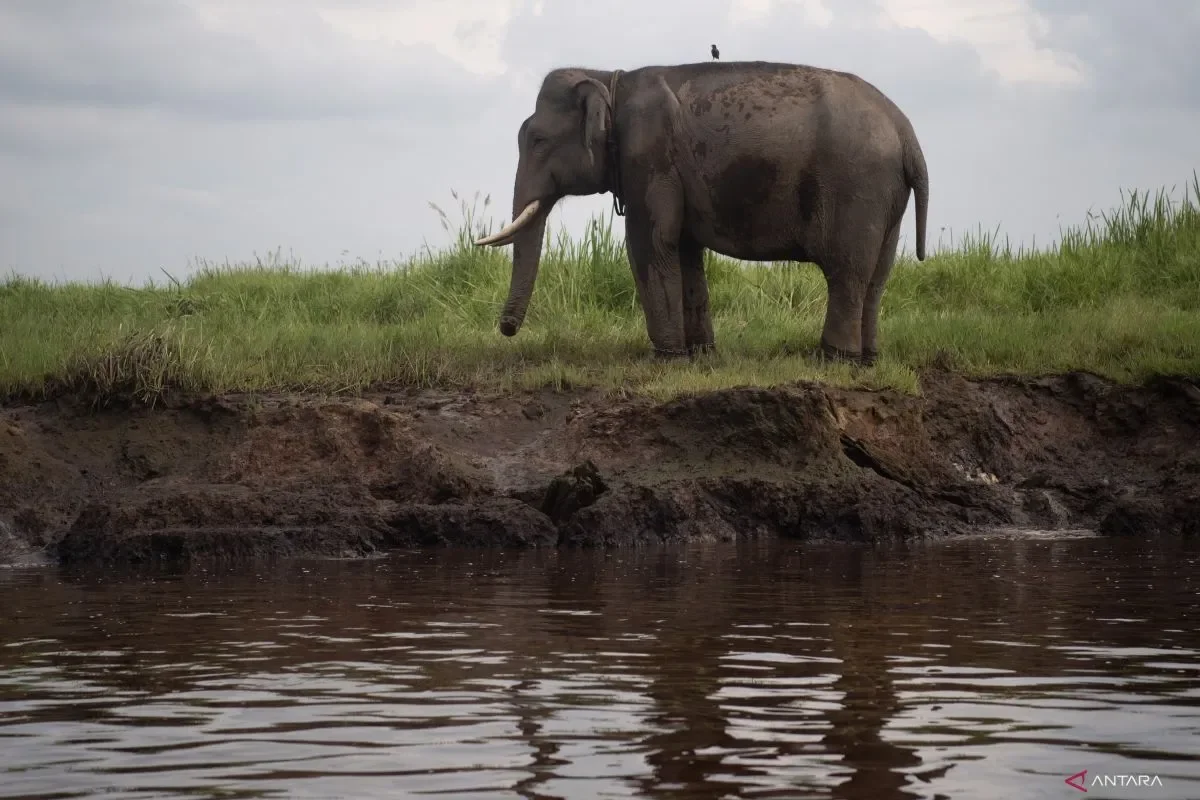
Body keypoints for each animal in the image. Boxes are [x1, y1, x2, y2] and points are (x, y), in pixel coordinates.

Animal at [474, 60, 929, 365]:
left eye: (537, 140)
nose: (506, 329)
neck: (610, 77)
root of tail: (907, 133)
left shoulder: (649, 155)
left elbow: (648, 244)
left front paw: (666, 358)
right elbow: (685, 251)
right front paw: (700, 354)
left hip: (857, 187)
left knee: (846, 271)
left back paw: (834, 358)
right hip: (887, 197)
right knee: (877, 275)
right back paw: (868, 359)